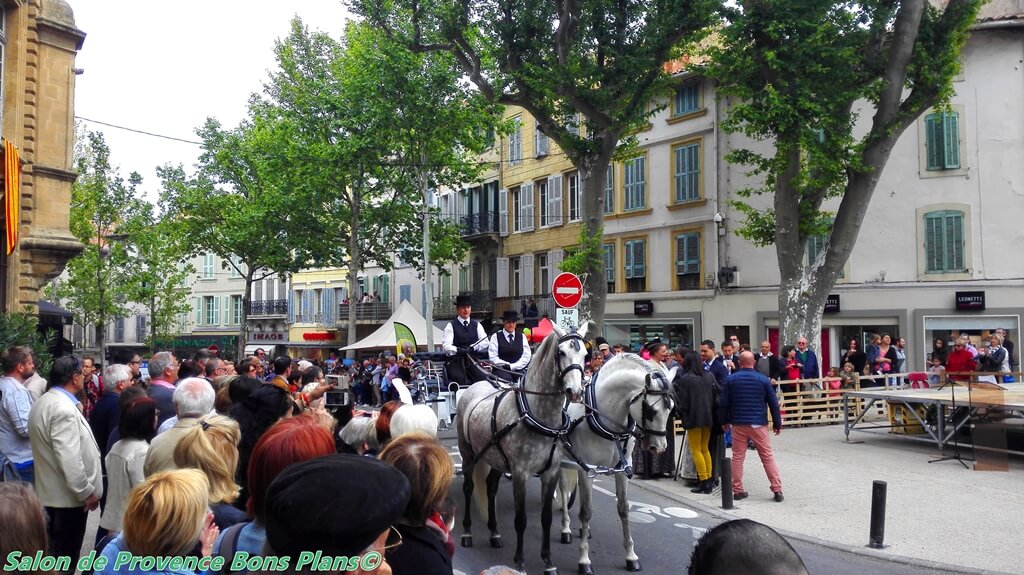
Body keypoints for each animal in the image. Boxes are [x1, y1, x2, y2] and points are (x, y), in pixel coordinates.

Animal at [458, 319, 593, 568]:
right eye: (561, 352)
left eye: (585, 355)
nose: (575, 391)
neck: (537, 414)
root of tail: (475, 386)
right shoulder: (520, 473)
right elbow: (520, 519)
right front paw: (520, 560)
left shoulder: (551, 472)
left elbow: (546, 518)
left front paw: (548, 561)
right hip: (468, 455)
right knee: (469, 487)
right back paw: (467, 533)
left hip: (496, 458)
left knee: (490, 488)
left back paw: (494, 533)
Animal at [557, 356, 675, 568]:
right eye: (650, 410)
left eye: (671, 409)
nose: (660, 447)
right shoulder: (587, 469)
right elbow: (586, 510)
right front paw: (584, 559)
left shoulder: (622, 468)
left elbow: (624, 509)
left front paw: (631, 555)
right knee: (562, 490)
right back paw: (566, 529)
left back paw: (584, 530)